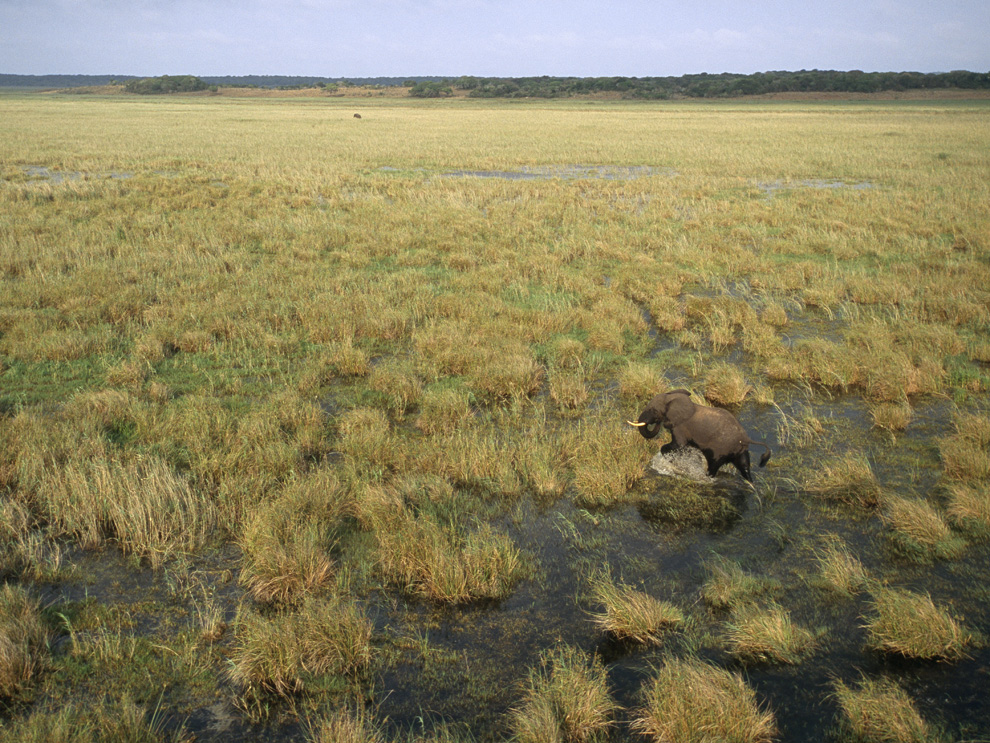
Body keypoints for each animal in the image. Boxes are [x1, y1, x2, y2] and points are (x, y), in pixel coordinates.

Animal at [628, 392, 776, 486]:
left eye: (653, 410)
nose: (656, 422)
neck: (673, 397)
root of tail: (745, 438)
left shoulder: (681, 426)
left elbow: (678, 445)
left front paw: (673, 460)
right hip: (739, 450)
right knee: (744, 465)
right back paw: (751, 484)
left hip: (722, 449)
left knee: (713, 465)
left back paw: (706, 478)